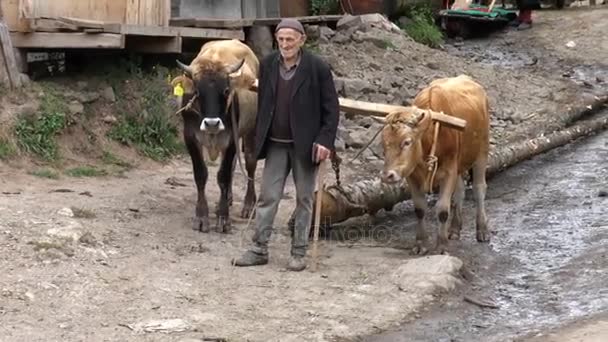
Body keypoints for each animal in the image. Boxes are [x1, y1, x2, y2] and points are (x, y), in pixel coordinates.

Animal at [171, 38, 258, 234]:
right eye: (197, 92)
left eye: (226, 90)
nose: (212, 123)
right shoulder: (190, 137)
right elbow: (201, 174)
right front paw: (202, 216)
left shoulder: (231, 138)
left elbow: (223, 176)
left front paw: (224, 219)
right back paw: (225, 200)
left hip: (250, 132)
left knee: (250, 164)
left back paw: (248, 205)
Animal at [382, 75, 492, 254]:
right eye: (383, 144)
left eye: (407, 142)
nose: (387, 176)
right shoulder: (412, 174)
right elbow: (419, 209)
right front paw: (421, 243)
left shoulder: (449, 171)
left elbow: (442, 209)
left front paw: (441, 246)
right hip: (460, 163)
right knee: (460, 191)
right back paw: (454, 229)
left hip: (482, 151)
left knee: (479, 188)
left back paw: (482, 230)